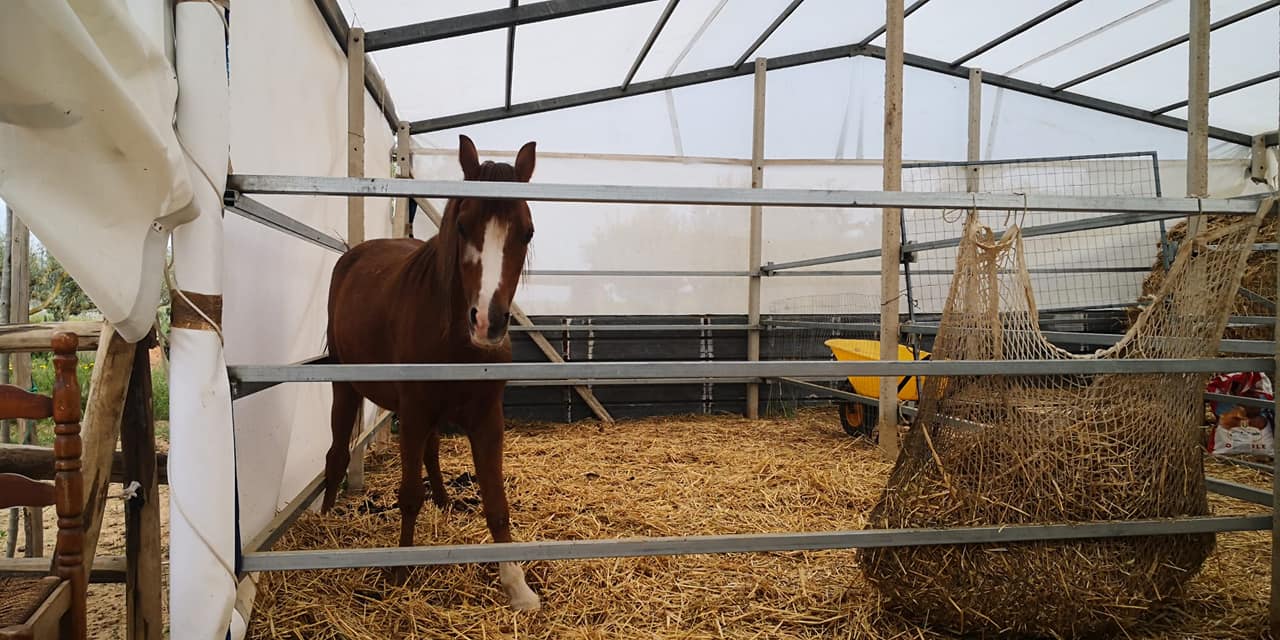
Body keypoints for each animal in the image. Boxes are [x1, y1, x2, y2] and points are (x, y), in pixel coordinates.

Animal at [321, 135, 541, 611]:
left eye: (527, 231)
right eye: (462, 226)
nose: (488, 322)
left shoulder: (487, 419)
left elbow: (495, 501)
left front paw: (516, 585)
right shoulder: (414, 412)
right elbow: (408, 495)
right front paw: (401, 571)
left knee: (431, 451)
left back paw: (443, 499)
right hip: (344, 387)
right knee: (336, 454)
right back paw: (325, 521)